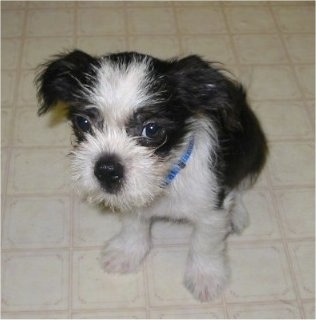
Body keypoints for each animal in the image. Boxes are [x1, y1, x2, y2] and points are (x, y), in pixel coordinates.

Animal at [35, 50, 268, 302]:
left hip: (252, 148)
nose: (106, 169)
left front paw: (205, 276)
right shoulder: (131, 197)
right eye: (83, 122)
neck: (166, 180)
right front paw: (126, 253)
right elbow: (133, 225)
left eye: (152, 129)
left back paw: (237, 214)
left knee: (240, 184)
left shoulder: (211, 211)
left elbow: (204, 243)